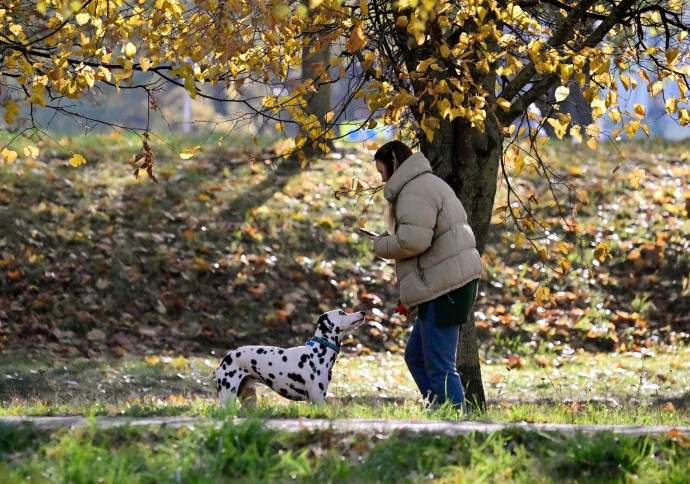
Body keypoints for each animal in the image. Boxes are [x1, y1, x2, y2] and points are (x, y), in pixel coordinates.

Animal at [194, 308, 366, 406]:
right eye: (342, 313)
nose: (363, 312)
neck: (318, 352)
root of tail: (223, 360)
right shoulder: (318, 399)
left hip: (249, 399)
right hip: (228, 396)